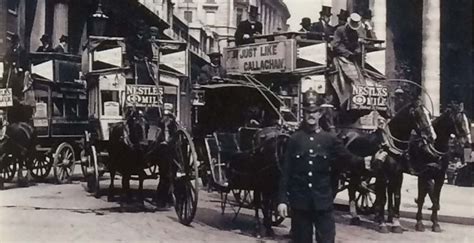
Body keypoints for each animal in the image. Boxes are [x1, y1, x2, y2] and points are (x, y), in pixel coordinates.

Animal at [410, 102, 472, 232]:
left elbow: (435, 197)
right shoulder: (424, 175)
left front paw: (435, 223)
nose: (468, 142)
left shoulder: (440, 176)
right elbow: (423, 198)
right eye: (459, 122)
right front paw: (419, 222)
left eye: (468, 121)